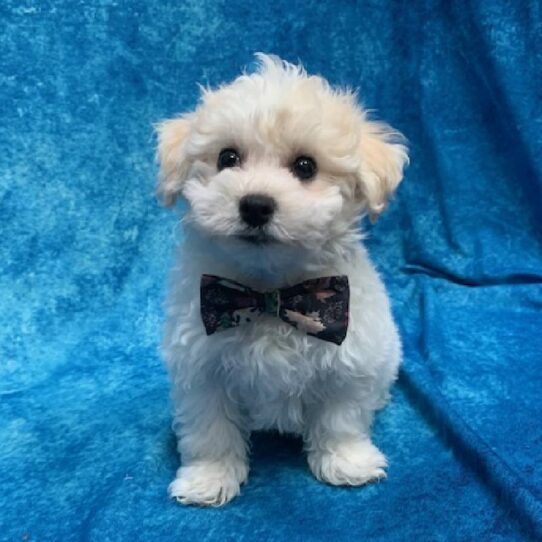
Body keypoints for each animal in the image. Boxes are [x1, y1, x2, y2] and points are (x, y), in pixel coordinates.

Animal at [156, 55, 408, 506]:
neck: (270, 292)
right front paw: (208, 478)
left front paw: (347, 462)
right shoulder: (202, 369)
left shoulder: (349, 360)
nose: (255, 205)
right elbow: (209, 430)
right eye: (227, 158)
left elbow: (341, 418)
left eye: (305, 166)